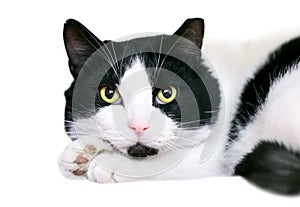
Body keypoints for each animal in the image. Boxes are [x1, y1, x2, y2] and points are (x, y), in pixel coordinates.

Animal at [58, 18, 300, 195]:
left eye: (166, 94)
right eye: (109, 94)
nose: (139, 126)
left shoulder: (213, 159)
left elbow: (172, 161)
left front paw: (109, 163)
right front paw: (84, 151)